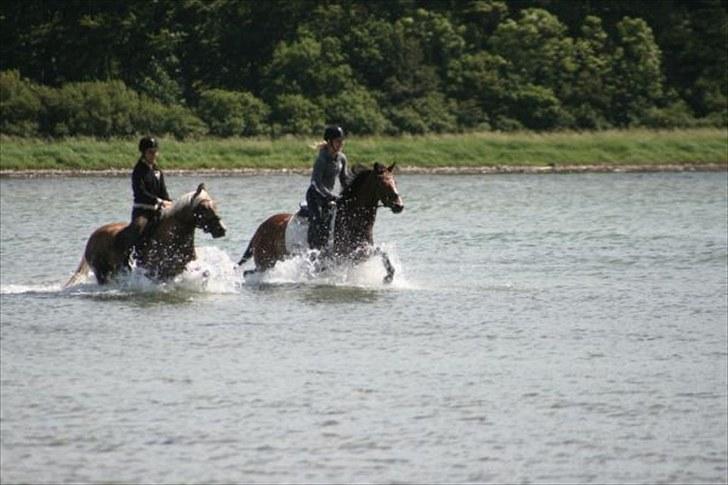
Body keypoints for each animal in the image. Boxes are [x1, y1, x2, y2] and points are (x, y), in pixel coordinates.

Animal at [64, 183, 226, 287]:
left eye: (215, 205)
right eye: (203, 208)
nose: (221, 230)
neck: (172, 236)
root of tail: (93, 237)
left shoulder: (182, 267)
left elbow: (205, 273)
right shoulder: (158, 273)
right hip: (103, 273)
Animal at [237, 162, 404, 283]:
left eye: (395, 181)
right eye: (382, 183)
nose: (399, 205)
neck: (352, 219)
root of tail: (260, 229)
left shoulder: (360, 254)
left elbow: (382, 252)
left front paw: (389, 276)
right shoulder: (348, 255)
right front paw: (387, 277)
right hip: (265, 262)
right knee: (249, 273)